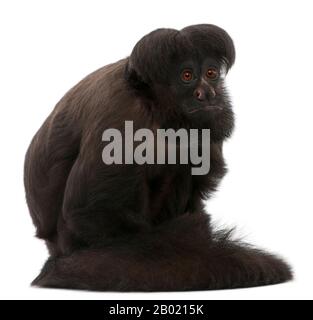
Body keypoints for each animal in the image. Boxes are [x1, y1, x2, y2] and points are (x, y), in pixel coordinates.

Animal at [23, 25, 290, 290]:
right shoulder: (121, 115)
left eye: (211, 73)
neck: (151, 103)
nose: (209, 92)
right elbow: (89, 210)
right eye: (186, 76)